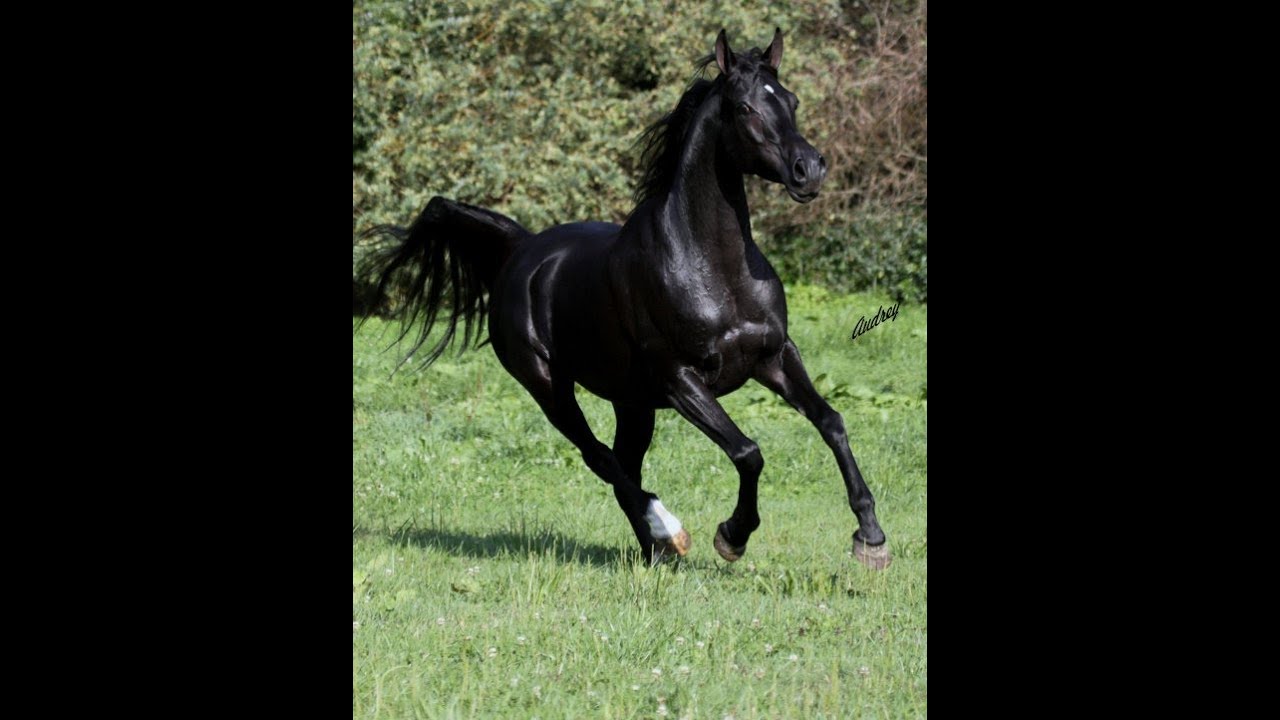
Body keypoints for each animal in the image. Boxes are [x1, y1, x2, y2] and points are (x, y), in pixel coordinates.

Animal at [357, 28, 890, 569]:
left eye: (791, 100)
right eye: (745, 107)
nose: (809, 170)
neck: (713, 266)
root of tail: (521, 249)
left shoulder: (774, 356)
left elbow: (831, 422)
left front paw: (870, 537)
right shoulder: (681, 380)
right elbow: (747, 452)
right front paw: (732, 535)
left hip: (632, 404)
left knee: (621, 465)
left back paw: (656, 550)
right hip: (549, 386)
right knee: (600, 458)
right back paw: (668, 530)